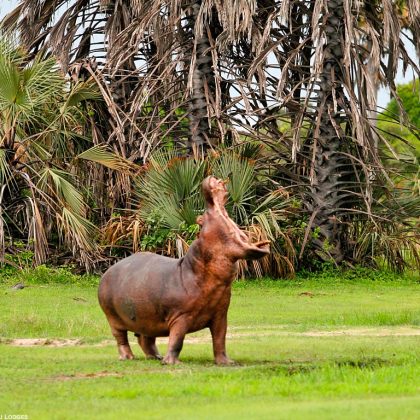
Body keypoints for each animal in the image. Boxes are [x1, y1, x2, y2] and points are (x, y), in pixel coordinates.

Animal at [98, 177, 270, 364]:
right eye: (200, 219)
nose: (211, 180)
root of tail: (107, 272)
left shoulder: (220, 315)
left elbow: (220, 339)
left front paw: (227, 363)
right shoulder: (181, 317)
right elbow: (177, 340)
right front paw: (172, 363)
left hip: (146, 317)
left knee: (145, 338)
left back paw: (156, 357)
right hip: (113, 318)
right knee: (121, 338)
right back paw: (128, 357)